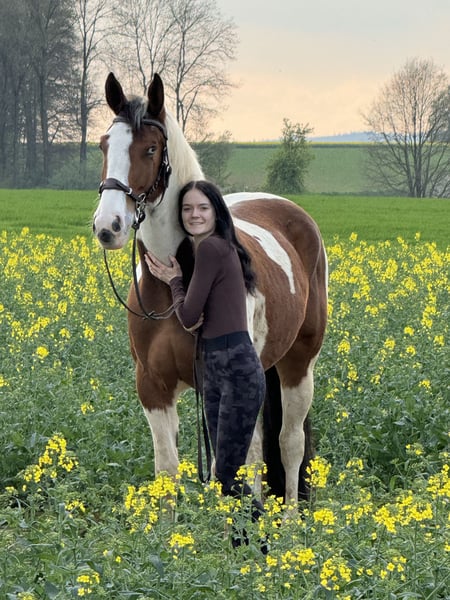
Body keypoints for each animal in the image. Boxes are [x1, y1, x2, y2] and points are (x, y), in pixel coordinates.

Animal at [93, 72, 328, 505]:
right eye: (104, 145)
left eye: (150, 148)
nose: (108, 226)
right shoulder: (153, 387)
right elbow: (168, 473)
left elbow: (226, 470)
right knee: (260, 452)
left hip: (299, 365)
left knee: (289, 445)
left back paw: (288, 518)